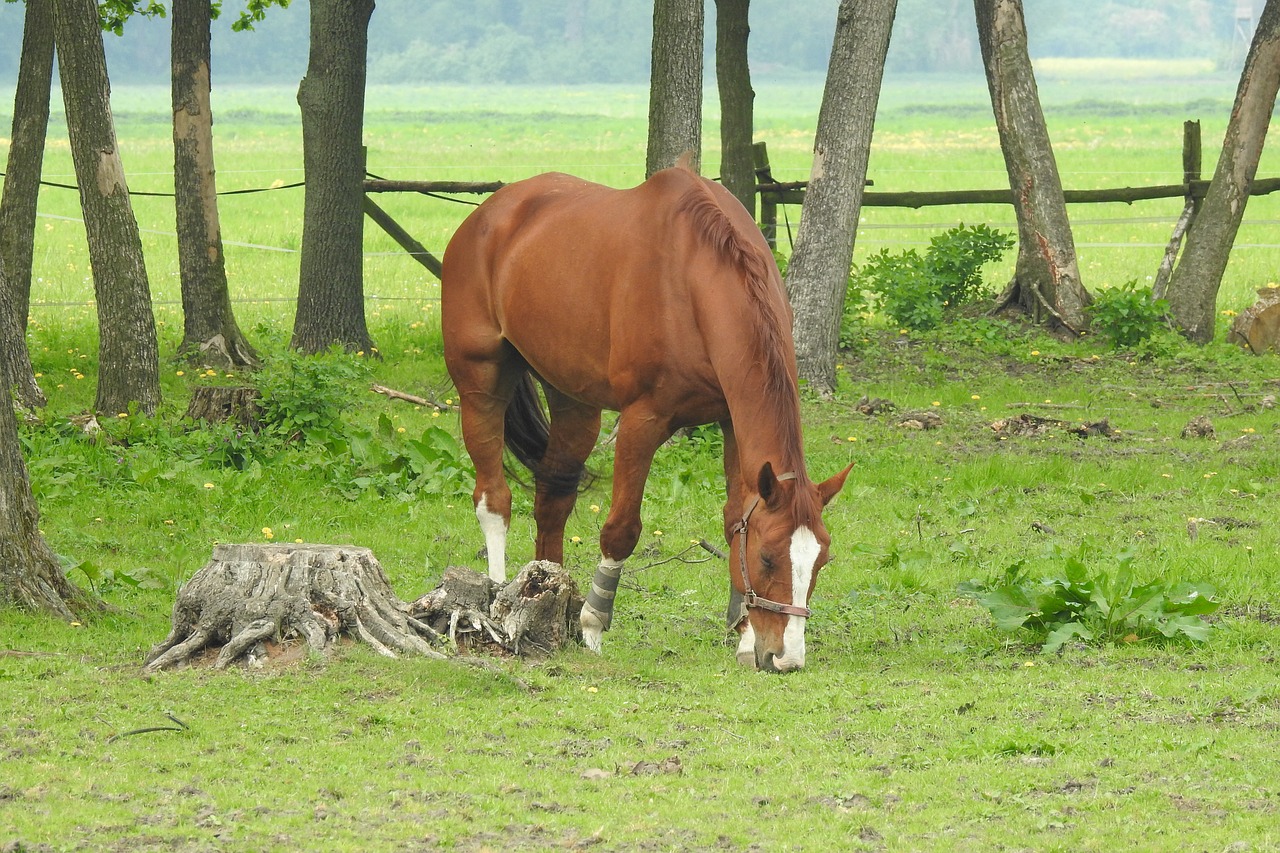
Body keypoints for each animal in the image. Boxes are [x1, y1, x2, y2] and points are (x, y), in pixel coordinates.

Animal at [440, 161, 849, 671]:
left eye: (820, 561)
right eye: (770, 558)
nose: (786, 658)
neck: (693, 279)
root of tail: (487, 215)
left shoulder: (732, 422)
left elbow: (734, 517)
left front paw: (744, 636)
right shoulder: (642, 422)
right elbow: (621, 530)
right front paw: (593, 625)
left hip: (573, 399)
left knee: (553, 496)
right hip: (481, 383)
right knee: (493, 497)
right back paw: (498, 592)